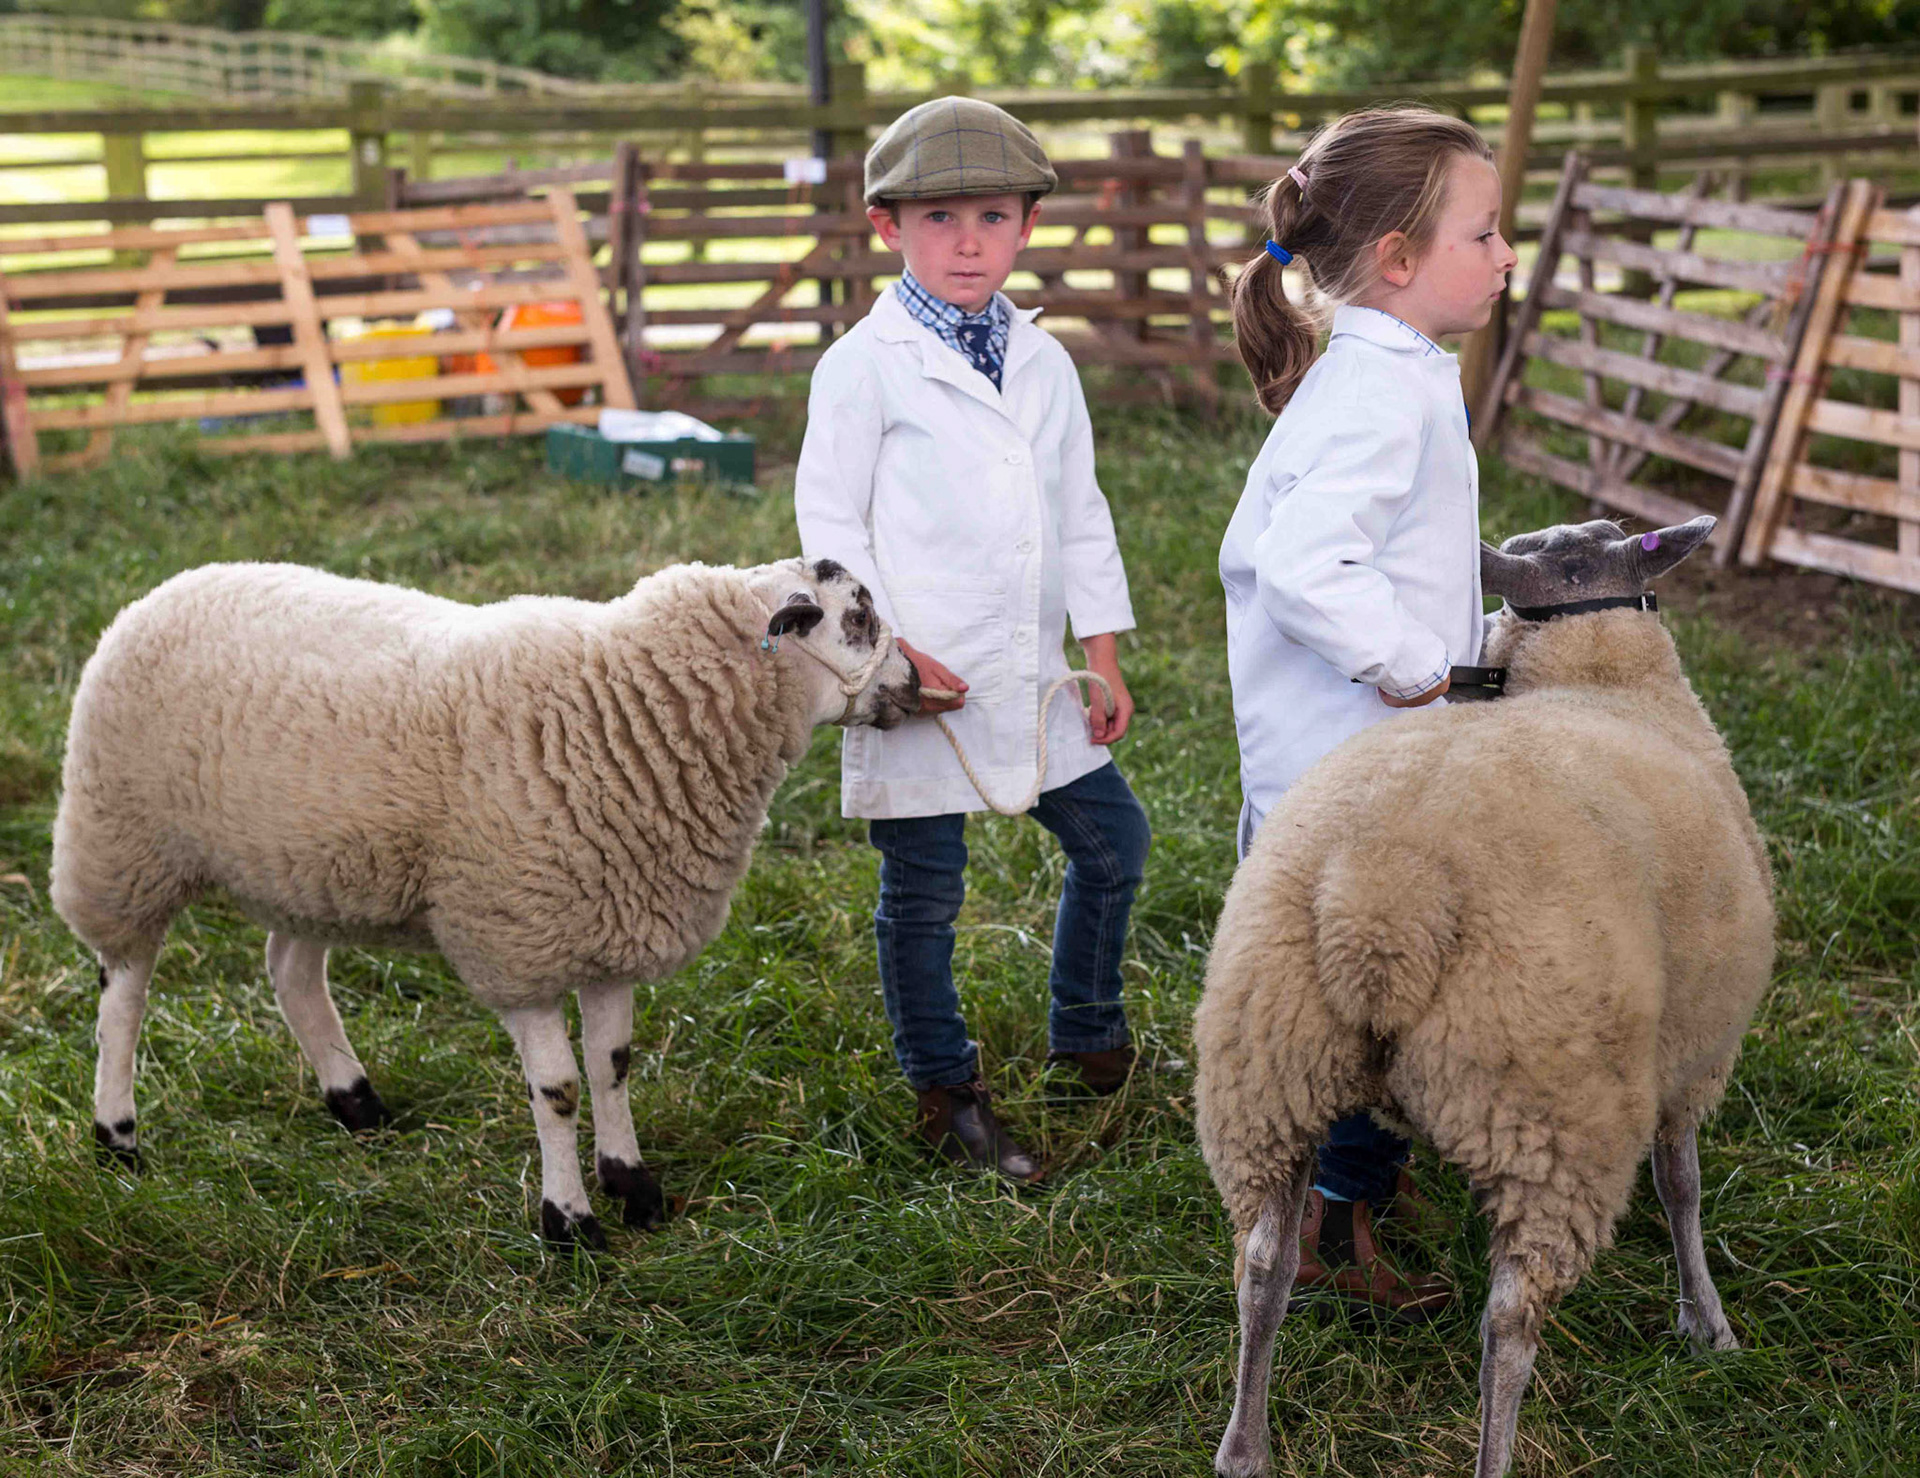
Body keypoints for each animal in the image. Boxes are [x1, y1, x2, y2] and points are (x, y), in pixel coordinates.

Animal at [51, 555, 919, 1248]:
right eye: (859, 615)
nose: (916, 683)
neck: (624, 703)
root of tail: (172, 584)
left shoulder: (609, 927)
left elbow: (612, 1067)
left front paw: (633, 1185)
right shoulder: (519, 940)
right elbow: (559, 1090)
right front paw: (569, 1222)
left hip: (308, 870)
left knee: (291, 972)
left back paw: (355, 1102)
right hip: (123, 843)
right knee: (123, 997)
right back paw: (117, 1137)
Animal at [1194, 515, 1775, 1478]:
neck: (1602, 681)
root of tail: (1382, 894)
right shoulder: (1694, 1051)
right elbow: (1681, 1186)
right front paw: (1707, 1322)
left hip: (1269, 1077)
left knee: (1263, 1266)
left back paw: (1245, 1447)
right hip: (1552, 1119)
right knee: (1507, 1324)